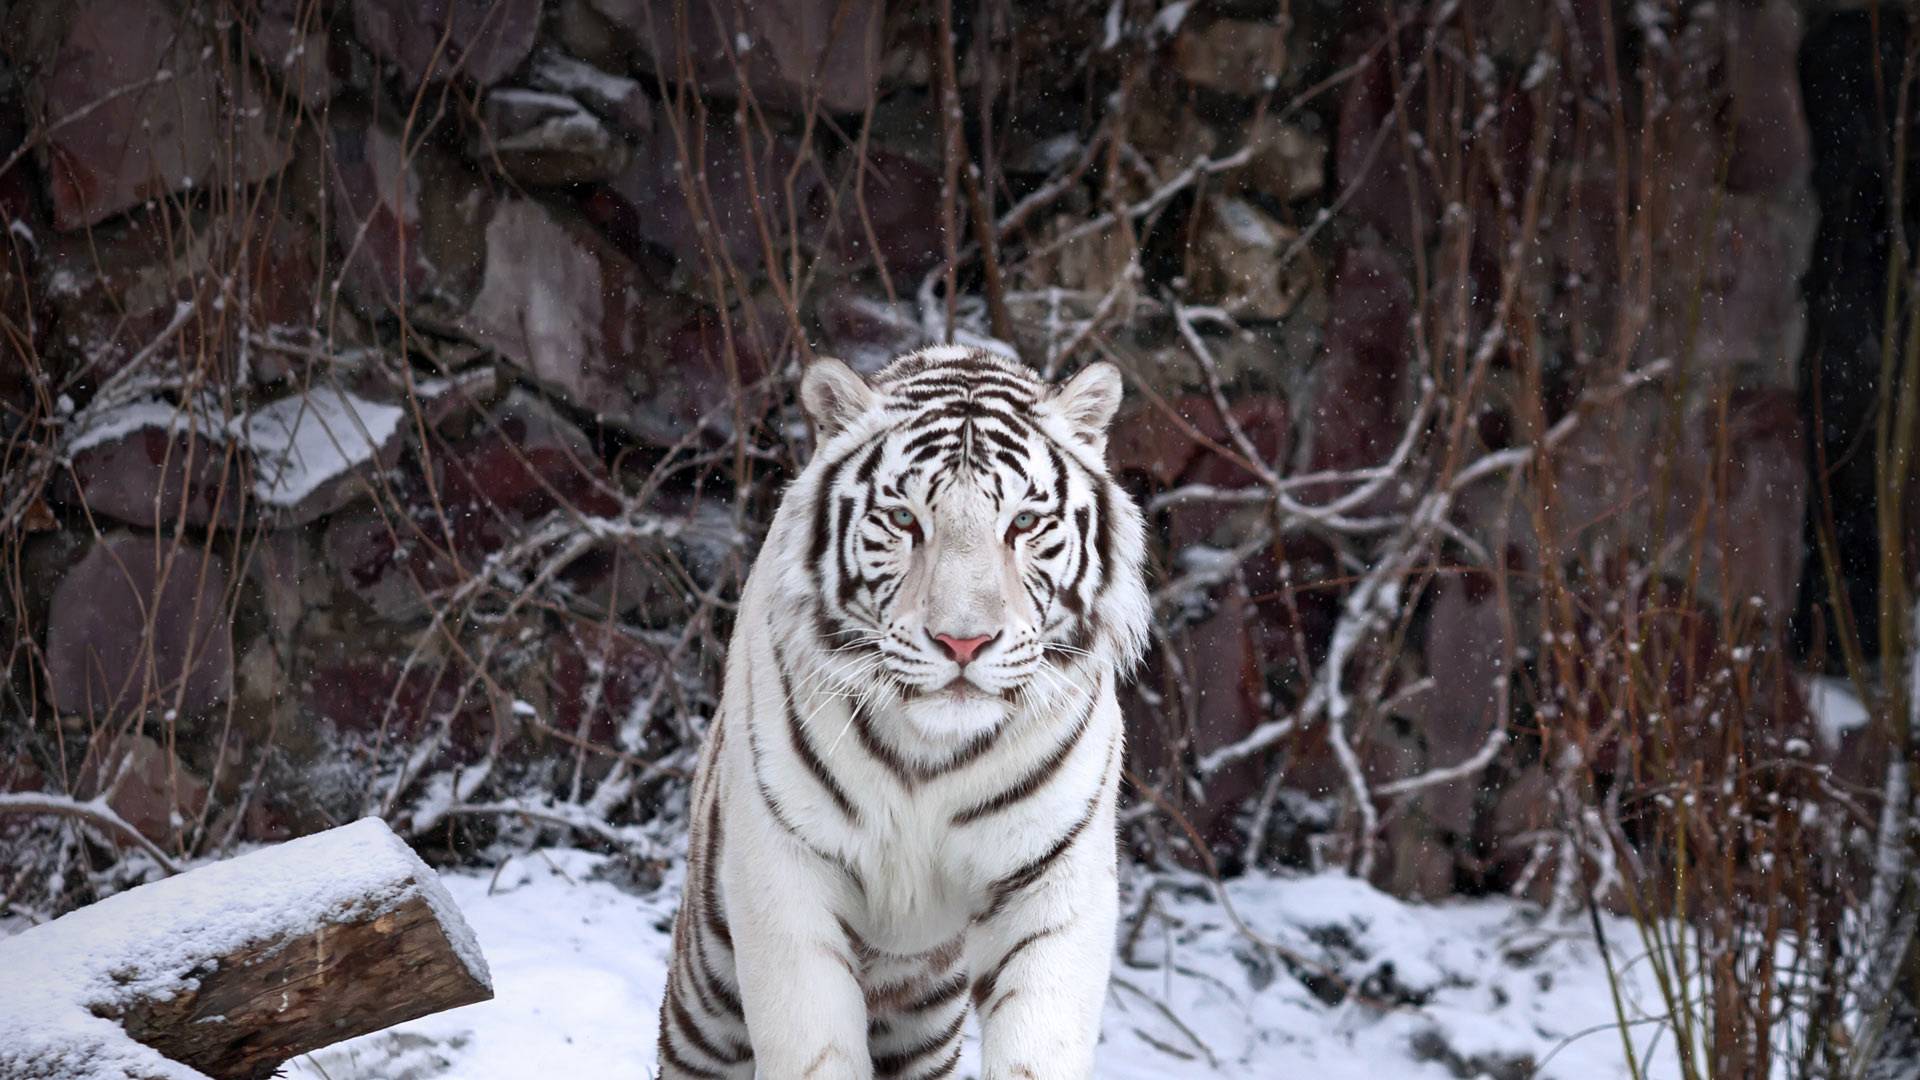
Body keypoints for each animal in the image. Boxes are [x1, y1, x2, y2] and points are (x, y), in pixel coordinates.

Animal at [652, 343, 1144, 1076]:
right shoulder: (786, 871)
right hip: (705, 997)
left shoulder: (1053, 880)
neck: (932, 753)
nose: (964, 640)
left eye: (1024, 523)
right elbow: (814, 1047)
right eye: (906, 520)